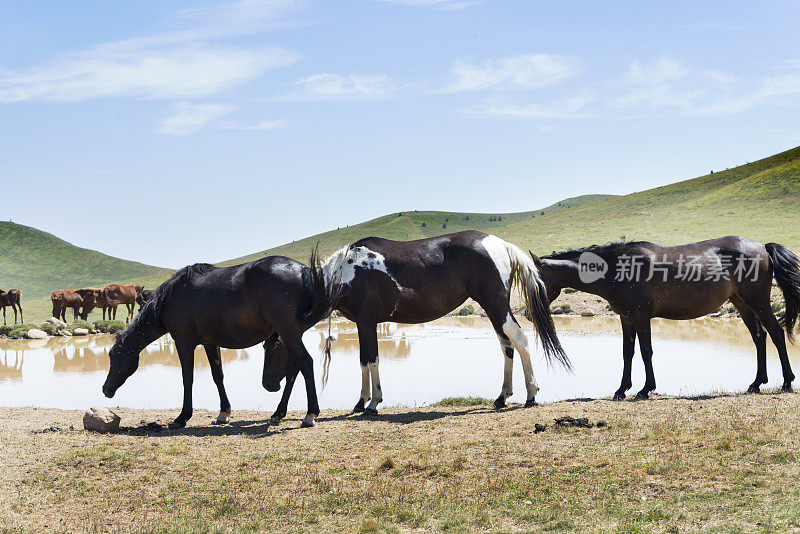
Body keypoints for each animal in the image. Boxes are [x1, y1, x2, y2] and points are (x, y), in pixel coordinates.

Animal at [102, 252, 334, 432]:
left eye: (113, 356)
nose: (105, 390)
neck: (171, 298)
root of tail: (303, 270)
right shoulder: (209, 343)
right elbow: (217, 375)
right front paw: (224, 412)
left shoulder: (183, 343)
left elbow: (188, 378)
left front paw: (182, 417)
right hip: (292, 335)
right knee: (295, 369)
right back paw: (278, 413)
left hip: (289, 332)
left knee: (306, 363)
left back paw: (310, 414)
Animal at [266, 229, 572, 414]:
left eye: (274, 348)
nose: (268, 385)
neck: (347, 271)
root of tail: (501, 244)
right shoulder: (363, 324)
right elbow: (364, 360)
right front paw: (361, 402)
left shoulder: (367, 322)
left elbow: (372, 359)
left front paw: (373, 402)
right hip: (493, 308)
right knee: (506, 346)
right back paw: (502, 397)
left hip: (496, 306)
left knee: (519, 341)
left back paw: (531, 394)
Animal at [532, 237, 800, 400]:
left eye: (535, 277)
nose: (527, 312)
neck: (616, 269)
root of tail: (762, 246)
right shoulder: (626, 318)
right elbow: (627, 353)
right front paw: (622, 389)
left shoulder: (641, 316)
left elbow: (645, 351)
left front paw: (645, 389)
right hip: (742, 303)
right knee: (759, 337)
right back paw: (756, 383)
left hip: (758, 302)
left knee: (776, 334)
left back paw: (786, 382)